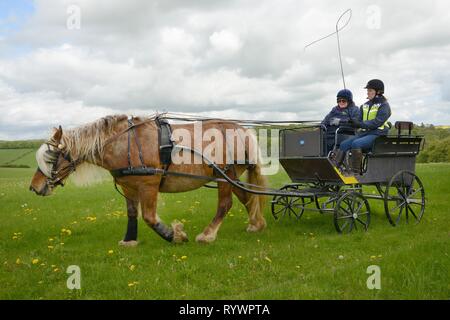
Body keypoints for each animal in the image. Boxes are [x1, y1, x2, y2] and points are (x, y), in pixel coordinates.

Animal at [29, 115, 268, 245]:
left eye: (50, 157)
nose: (34, 187)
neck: (124, 143)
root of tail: (243, 130)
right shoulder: (128, 186)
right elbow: (132, 213)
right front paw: (129, 240)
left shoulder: (149, 185)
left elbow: (150, 217)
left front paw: (175, 235)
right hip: (229, 176)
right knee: (246, 197)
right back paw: (256, 224)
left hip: (224, 176)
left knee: (225, 204)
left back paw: (208, 235)